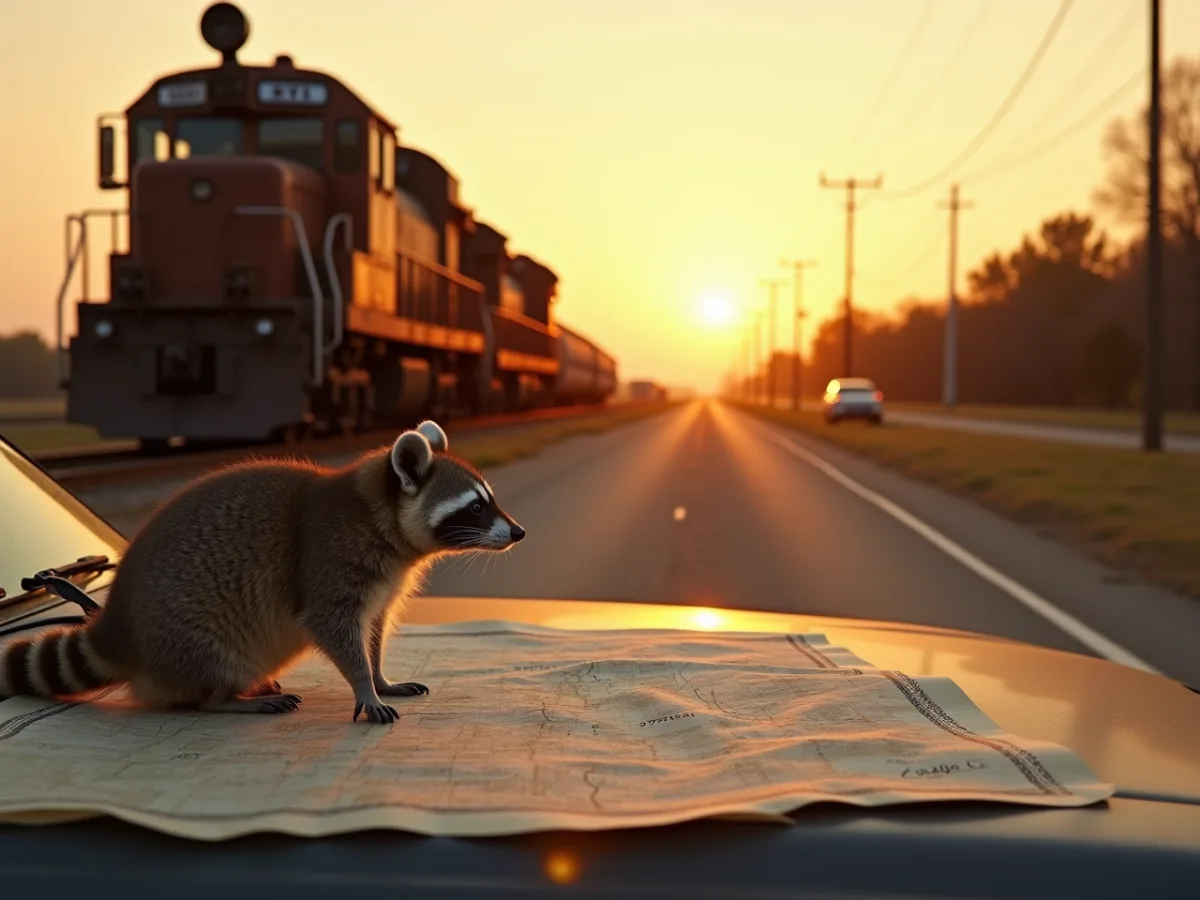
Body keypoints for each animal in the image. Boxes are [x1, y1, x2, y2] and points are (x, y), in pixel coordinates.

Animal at [0, 420, 524, 725]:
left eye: (488, 500)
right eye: (476, 507)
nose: (518, 533)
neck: (382, 514)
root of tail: (117, 623)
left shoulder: (382, 580)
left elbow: (373, 628)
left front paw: (379, 676)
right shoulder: (330, 555)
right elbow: (330, 624)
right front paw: (364, 685)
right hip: (185, 633)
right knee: (208, 668)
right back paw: (226, 698)